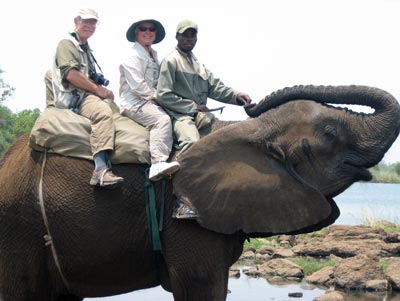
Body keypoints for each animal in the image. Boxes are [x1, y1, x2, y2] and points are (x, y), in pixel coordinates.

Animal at [0, 84, 398, 300]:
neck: (248, 129)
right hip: (18, 226)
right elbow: (201, 285)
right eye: (330, 134)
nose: (250, 101)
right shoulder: (185, 220)